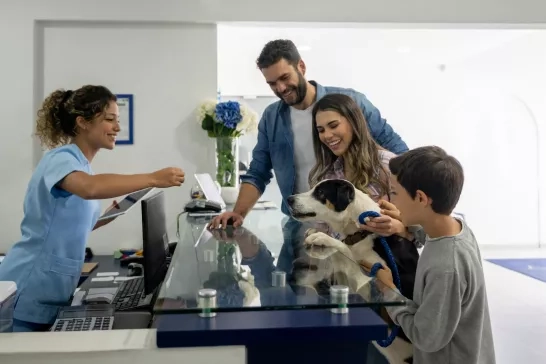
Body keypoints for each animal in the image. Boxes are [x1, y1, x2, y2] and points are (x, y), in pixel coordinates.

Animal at [284, 178, 416, 364]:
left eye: (320, 193)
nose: (289, 199)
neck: (363, 231)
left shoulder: (370, 282)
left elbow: (344, 249)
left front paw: (323, 237)